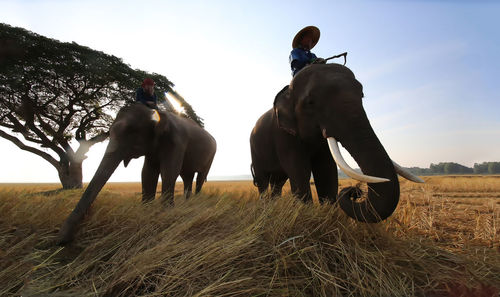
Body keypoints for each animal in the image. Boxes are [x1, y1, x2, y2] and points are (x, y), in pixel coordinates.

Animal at [57, 103, 217, 244]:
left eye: (131, 131)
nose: (62, 240)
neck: (155, 113)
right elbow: (147, 173)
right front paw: (146, 211)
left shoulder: (176, 142)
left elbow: (169, 171)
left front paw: (166, 213)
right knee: (187, 176)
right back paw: (187, 202)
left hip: (211, 155)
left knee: (200, 176)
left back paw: (195, 200)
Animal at [250, 62, 422, 222]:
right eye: (310, 102)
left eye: (362, 95)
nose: (354, 191)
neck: (288, 91)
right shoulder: (284, 135)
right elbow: (300, 170)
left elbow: (327, 169)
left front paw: (329, 217)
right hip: (254, 151)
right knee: (263, 181)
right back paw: (266, 209)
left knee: (277, 182)